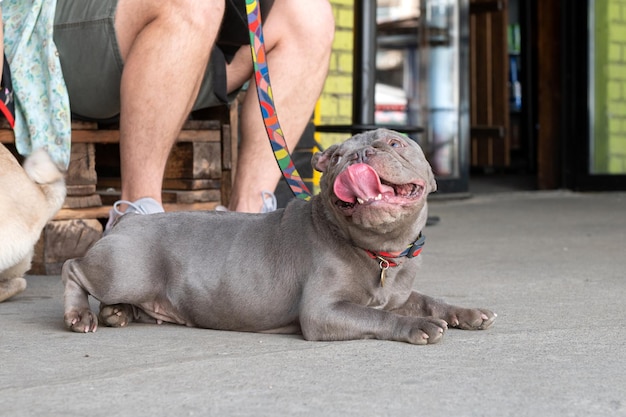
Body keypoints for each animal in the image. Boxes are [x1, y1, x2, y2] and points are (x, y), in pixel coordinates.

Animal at [63, 128, 492, 342]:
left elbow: (427, 300)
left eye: (394, 143)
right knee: (73, 268)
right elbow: (375, 315)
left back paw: (119, 313)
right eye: (337, 157)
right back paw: (80, 314)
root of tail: (128, 221)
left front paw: (467, 313)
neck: (381, 253)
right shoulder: (323, 312)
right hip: (123, 270)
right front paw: (416, 327)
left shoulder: (399, 294)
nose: (357, 157)